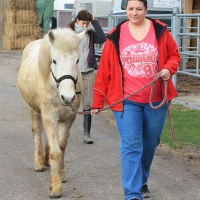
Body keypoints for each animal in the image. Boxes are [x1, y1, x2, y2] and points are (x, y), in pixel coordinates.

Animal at [17, 28, 85, 198]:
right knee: (37, 131)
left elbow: (61, 147)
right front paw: (55, 186)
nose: (68, 97)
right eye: (53, 60)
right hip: (33, 109)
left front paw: (62, 175)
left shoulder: (68, 119)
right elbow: (55, 152)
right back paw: (40, 162)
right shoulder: (49, 117)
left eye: (77, 61)